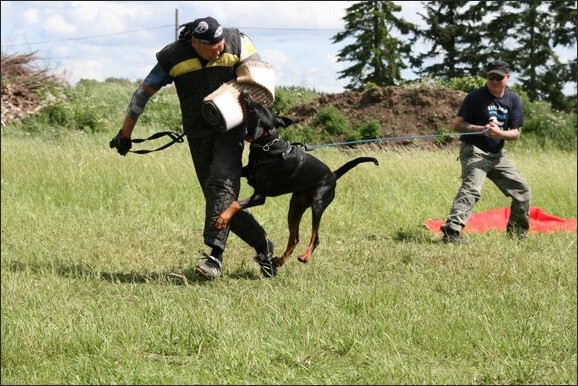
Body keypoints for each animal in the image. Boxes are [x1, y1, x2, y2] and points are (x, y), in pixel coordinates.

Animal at [213, 89, 378, 266]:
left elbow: (236, 203)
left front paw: (222, 219)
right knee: (294, 238)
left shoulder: (259, 196)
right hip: (295, 206)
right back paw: (280, 261)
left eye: (254, 108)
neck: (267, 146)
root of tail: (333, 175)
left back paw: (304, 256)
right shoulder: (248, 171)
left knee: (315, 237)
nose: (245, 91)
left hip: (318, 204)